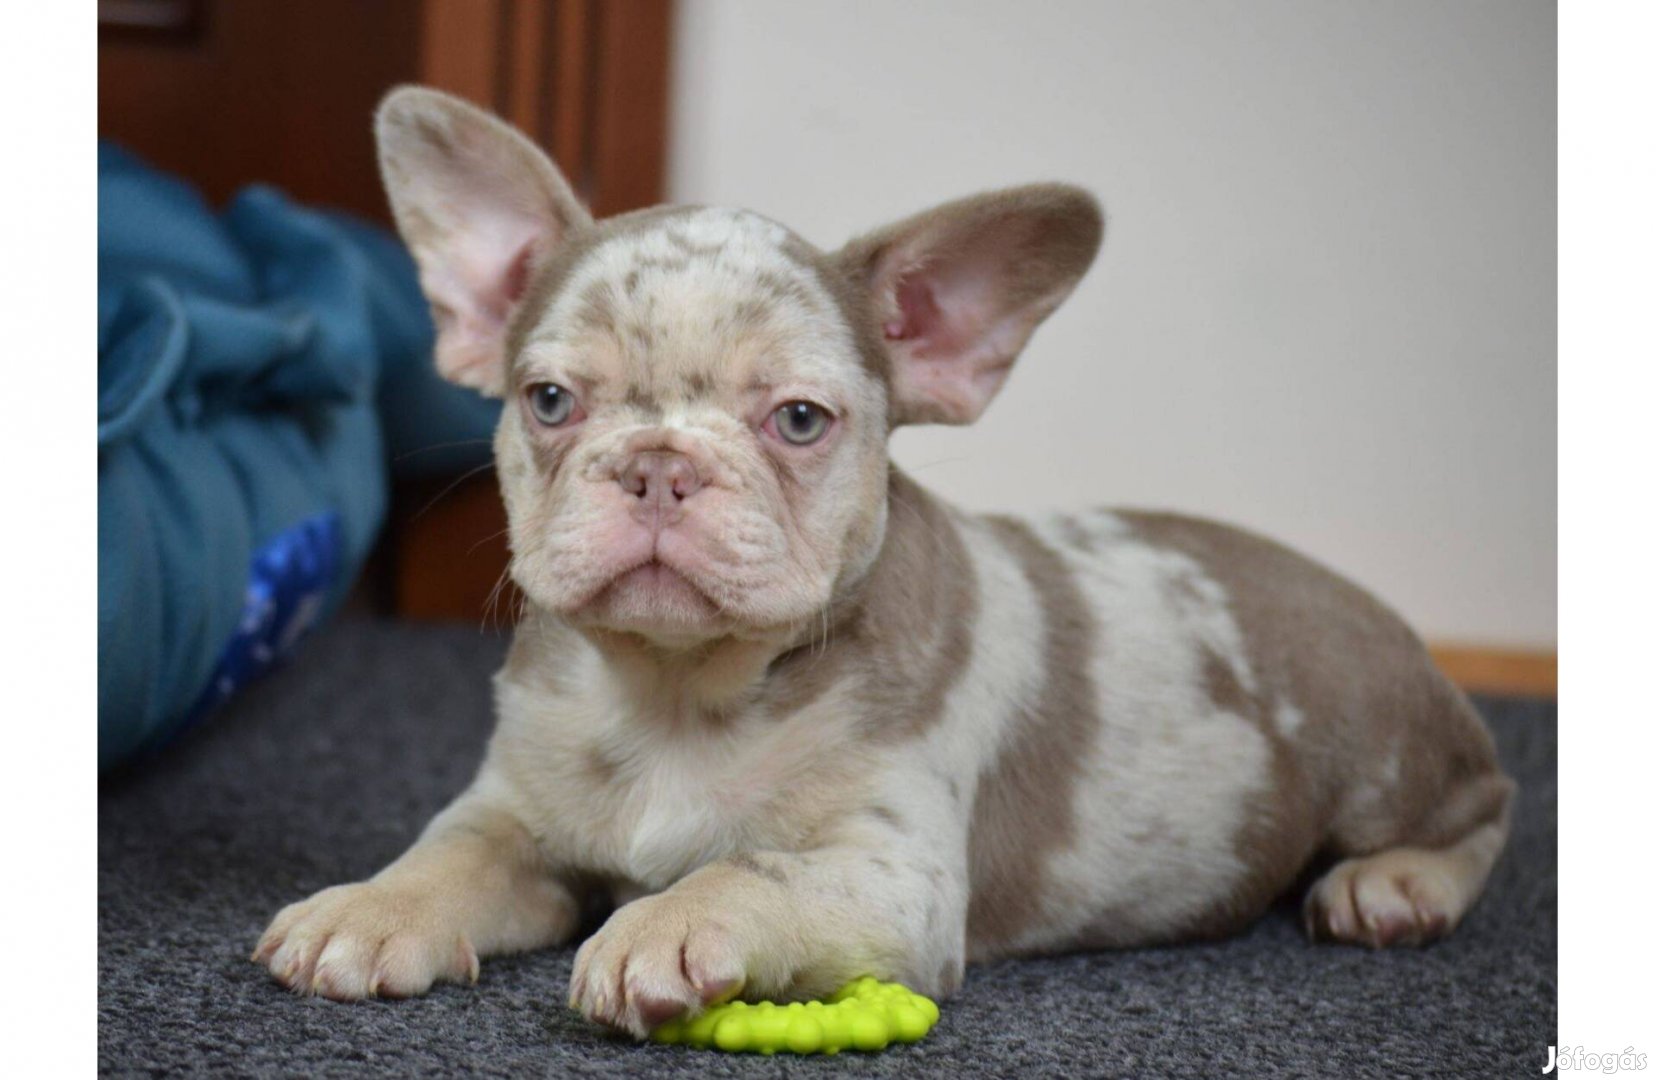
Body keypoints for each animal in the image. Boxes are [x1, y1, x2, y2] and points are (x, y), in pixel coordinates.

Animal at [251, 86, 1510, 1040]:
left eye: (800, 421)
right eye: (550, 401)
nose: (659, 465)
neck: (677, 691)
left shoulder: (890, 878)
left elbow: (749, 871)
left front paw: (665, 923)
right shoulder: (512, 814)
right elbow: (446, 850)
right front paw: (369, 908)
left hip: (1386, 757)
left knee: (1484, 801)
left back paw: (1398, 885)